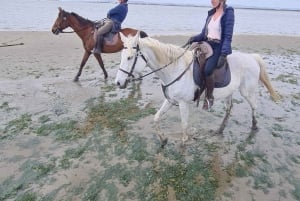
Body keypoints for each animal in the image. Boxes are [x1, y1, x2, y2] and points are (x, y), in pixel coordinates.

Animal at [115, 32, 278, 144]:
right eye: (121, 56)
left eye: (130, 57)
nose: (118, 82)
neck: (174, 70)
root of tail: (252, 58)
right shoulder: (170, 100)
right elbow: (156, 118)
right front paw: (163, 139)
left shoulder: (183, 103)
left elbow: (184, 125)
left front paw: (184, 143)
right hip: (229, 92)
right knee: (229, 108)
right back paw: (220, 130)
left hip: (247, 91)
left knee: (254, 106)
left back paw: (254, 126)